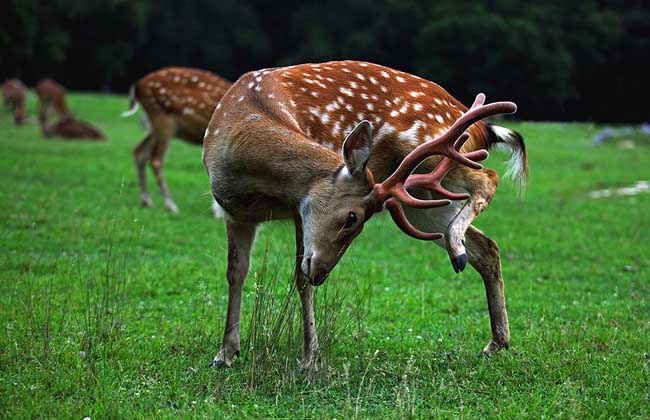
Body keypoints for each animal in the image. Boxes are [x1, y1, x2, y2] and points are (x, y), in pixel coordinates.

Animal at [123, 67, 232, 217]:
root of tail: (137, 86)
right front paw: (218, 212)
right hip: (163, 118)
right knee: (156, 159)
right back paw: (171, 205)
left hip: (155, 125)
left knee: (139, 151)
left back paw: (146, 201)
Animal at [202, 60, 528, 370]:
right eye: (352, 218)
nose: (322, 273)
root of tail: (482, 128)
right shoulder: (236, 214)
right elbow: (236, 272)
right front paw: (225, 353)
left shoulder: (298, 210)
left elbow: (300, 279)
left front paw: (310, 358)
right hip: (419, 200)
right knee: (487, 246)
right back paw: (495, 339)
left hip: (436, 156)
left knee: (488, 177)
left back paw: (459, 249)